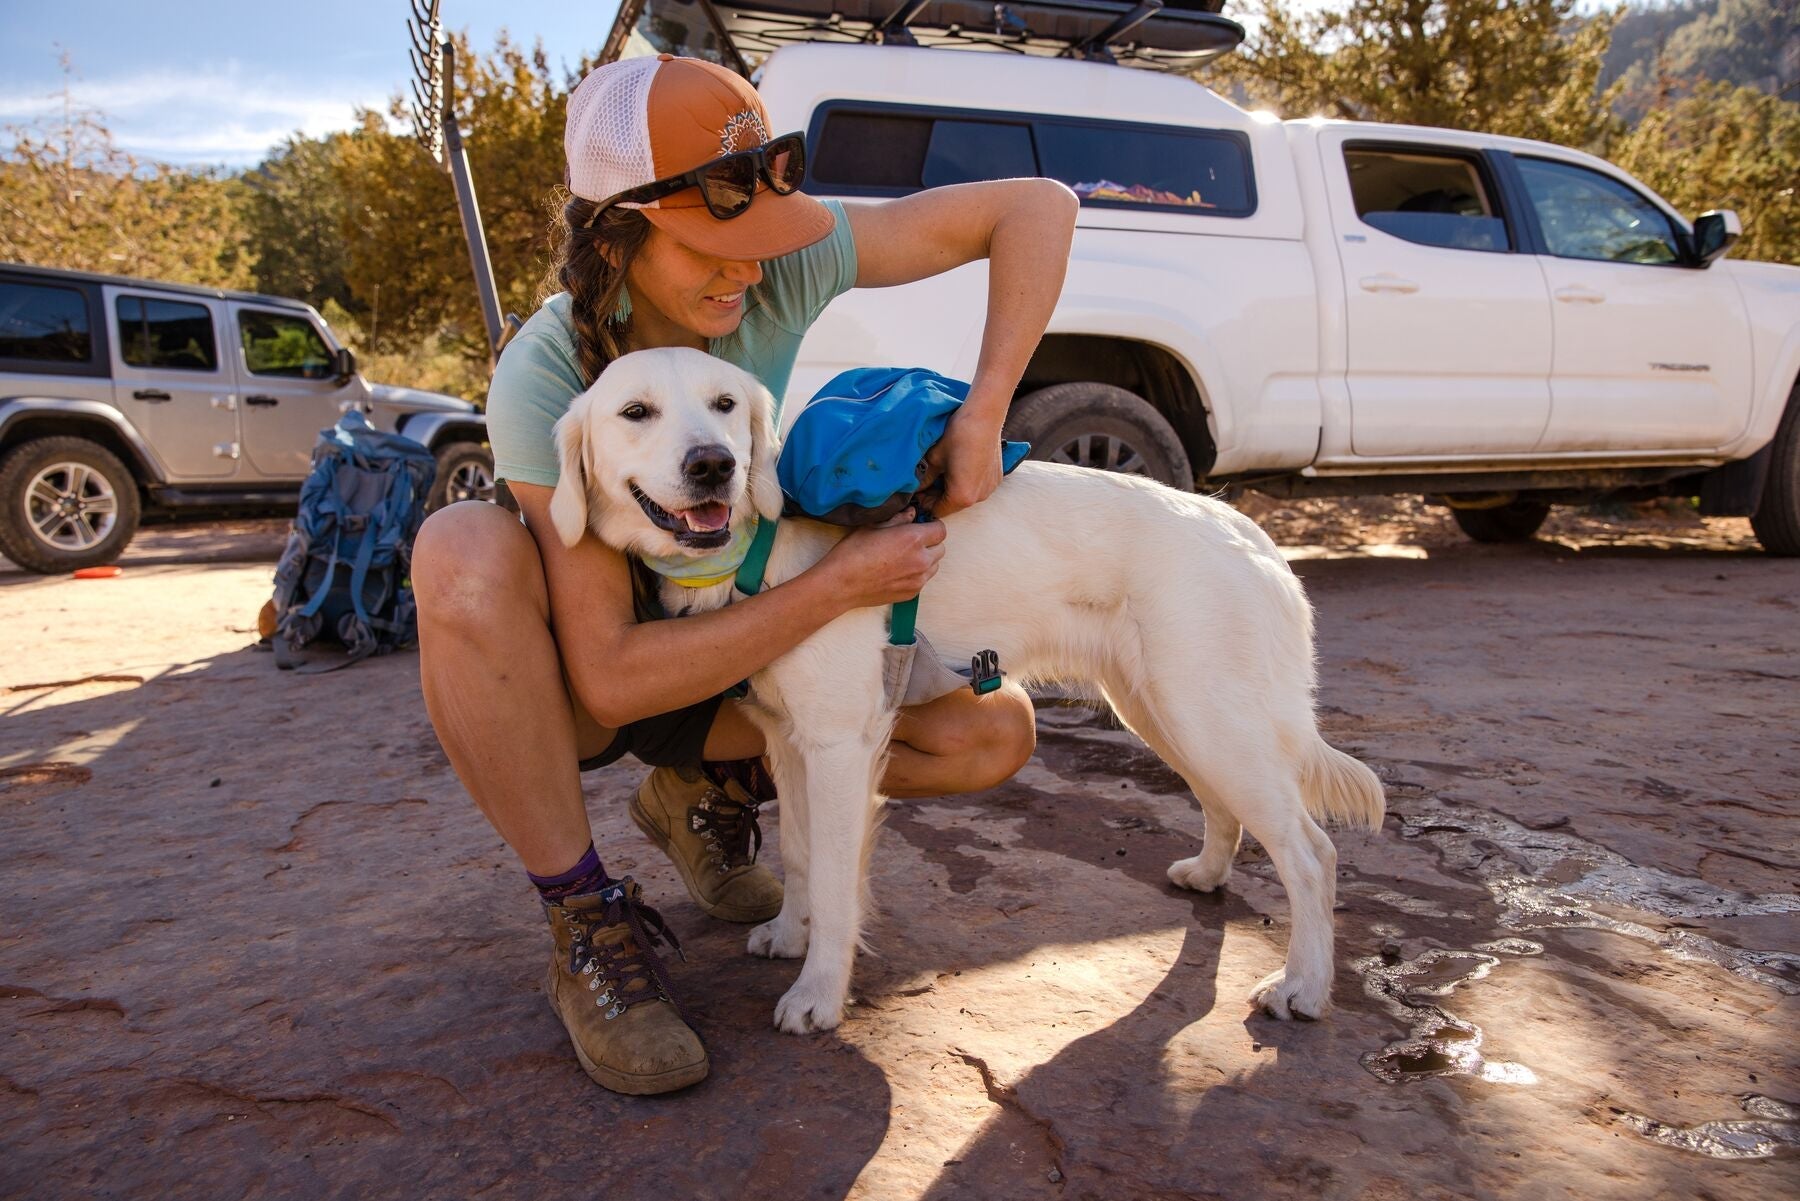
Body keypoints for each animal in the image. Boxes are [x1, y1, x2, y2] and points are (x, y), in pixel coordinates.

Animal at [554, 347, 1382, 1037]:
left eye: (724, 404)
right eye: (636, 412)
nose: (713, 465)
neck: (756, 552)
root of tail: (1253, 533)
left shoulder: (839, 745)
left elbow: (834, 880)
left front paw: (819, 992)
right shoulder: (788, 744)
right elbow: (798, 855)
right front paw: (791, 934)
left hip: (1206, 715)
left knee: (1311, 852)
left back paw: (1303, 986)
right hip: (1167, 711)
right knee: (1224, 807)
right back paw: (1208, 876)